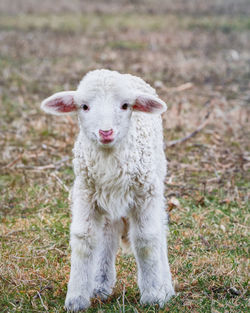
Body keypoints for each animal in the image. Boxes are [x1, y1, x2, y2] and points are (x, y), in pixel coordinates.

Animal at [41, 69, 175, 310]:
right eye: (84, 106)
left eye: (125, 105)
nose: (105, 132)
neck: (109, 160)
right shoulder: (85, 194)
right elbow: (84, 239)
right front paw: (76, 299)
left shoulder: (144, 194)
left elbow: (146, 239)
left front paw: (153, 296)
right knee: (107, 235)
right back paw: (100, 284)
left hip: (156, 179)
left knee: (159, 231)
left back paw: (165, 286)